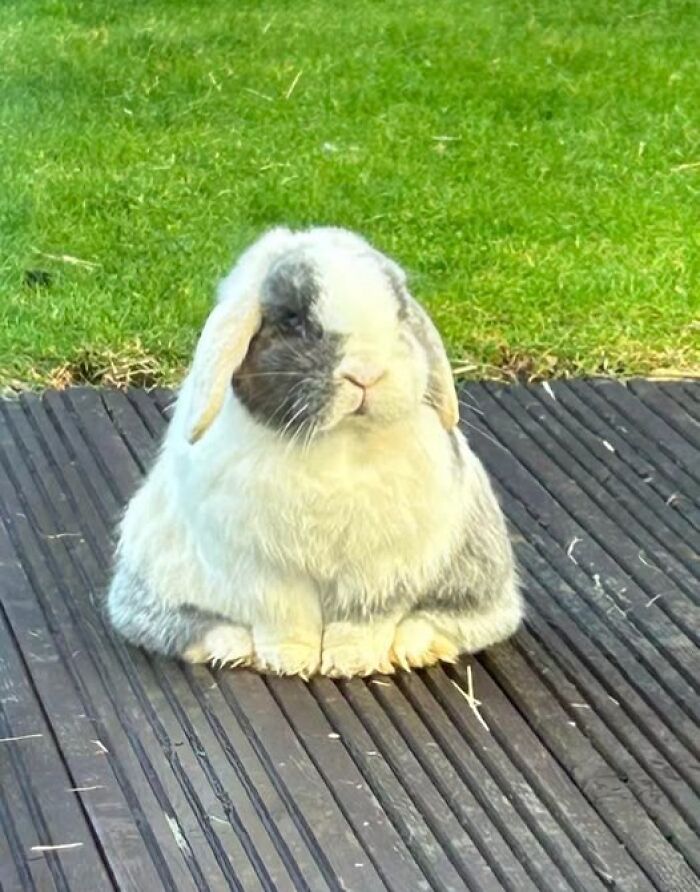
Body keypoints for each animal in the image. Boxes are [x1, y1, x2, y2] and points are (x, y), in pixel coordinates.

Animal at [107, 226, 522, 678]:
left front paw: (351, 663)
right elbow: (285, 619)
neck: (339, 442)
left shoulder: (379, 570)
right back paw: (231, 648)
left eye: (399, 315)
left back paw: (411, 648)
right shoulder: (266, 570)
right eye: (293, 320)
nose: (367, 374)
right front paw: (289, 661)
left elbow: (361, 622)